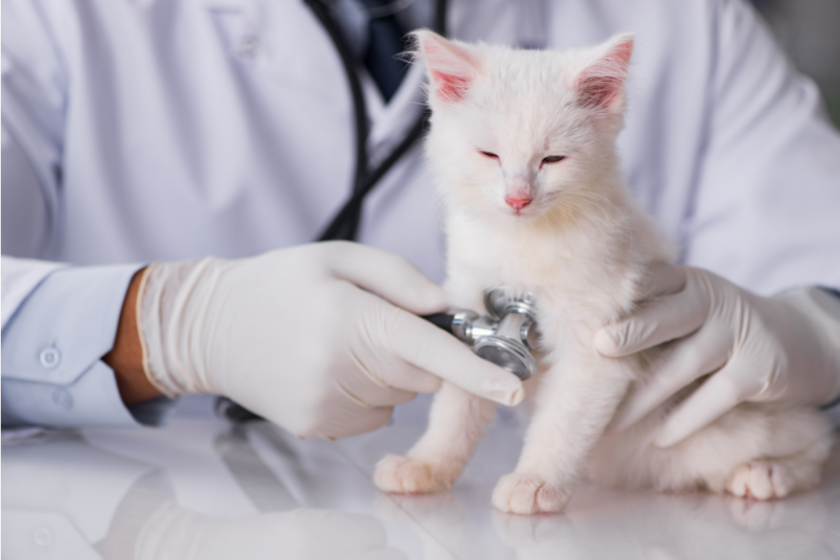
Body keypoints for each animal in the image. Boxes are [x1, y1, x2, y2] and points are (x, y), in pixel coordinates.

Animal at [374, 29, 832, 512]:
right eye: (489, 154)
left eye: (552, 160)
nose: (517, 198)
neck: (524, 239)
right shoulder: (471, 308)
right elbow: (456, 406)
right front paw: (425, 464)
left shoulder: (597, 343)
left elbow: (563, 420)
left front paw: (535, 481)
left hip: (733, 423)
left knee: (817, 444)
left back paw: (767, 474)